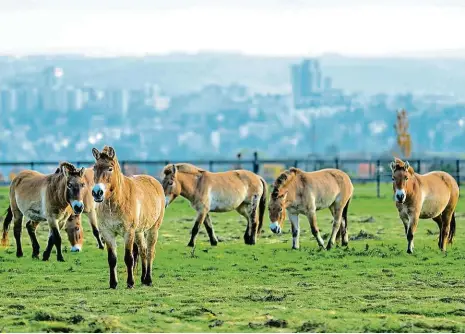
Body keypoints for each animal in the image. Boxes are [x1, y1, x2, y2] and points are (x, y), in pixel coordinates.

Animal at [89, 146, 164, 290]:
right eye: (94, 168)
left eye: (110, 168)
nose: (97, 193)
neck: (117, 201)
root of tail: (155, 182)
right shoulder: (107, 233)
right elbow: (112, 259)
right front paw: (113, 283)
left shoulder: (128, 232)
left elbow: (129, 258)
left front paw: (130, 283)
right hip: (139, 232)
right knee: (143, 251)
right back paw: (143, 279)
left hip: (153, 229)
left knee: (150, 252)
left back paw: (149, 279)